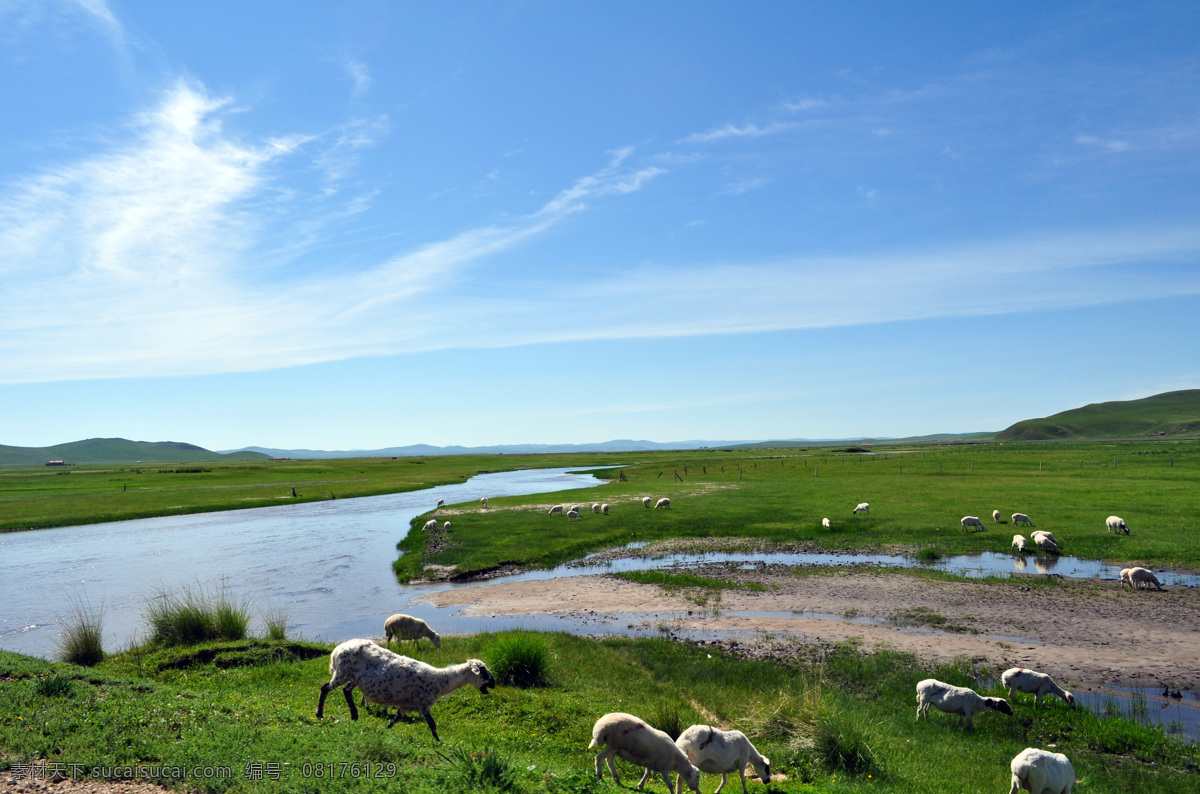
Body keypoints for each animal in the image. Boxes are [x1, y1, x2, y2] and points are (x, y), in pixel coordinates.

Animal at [316, 638, 494, 743]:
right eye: (483, 671)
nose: (493, 683)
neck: (441, 680)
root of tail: (337, 649)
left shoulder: (406, 706)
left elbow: (395, 720)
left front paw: (384, 732)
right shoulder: (423, 704)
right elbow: (432, 725)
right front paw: (439, 743)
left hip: (353, 679)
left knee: (346, 691)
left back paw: (354, 716)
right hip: (342, 672)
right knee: (325, 688)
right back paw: (320, 714)